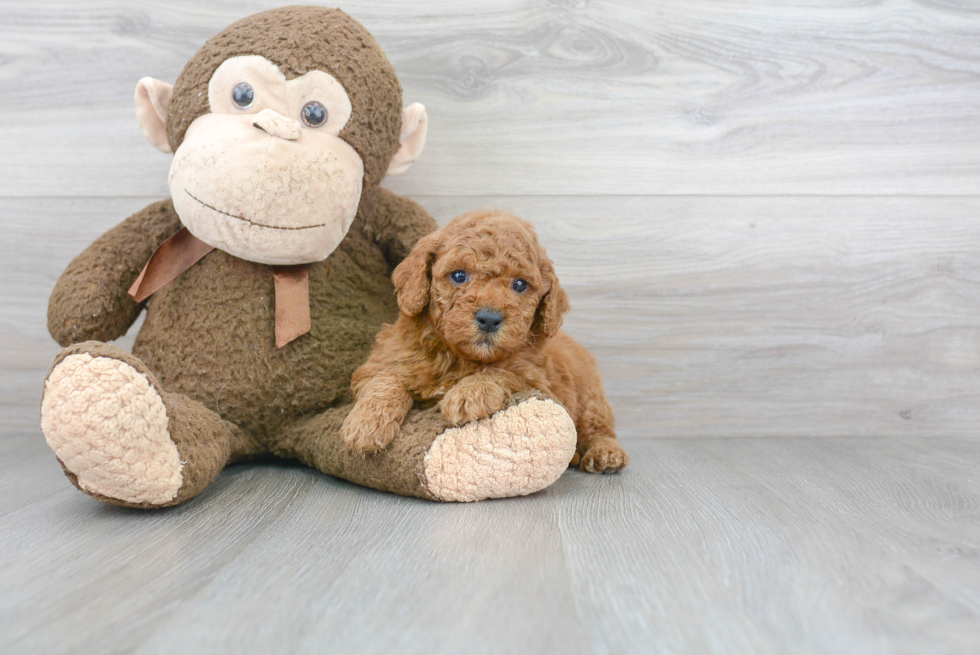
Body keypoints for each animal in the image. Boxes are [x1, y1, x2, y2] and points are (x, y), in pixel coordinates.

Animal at [342, 210, 628, 472]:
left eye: (520, 284)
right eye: (459, 275)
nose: (490, 318)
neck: (457, 356)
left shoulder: (538, 382)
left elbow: (501, 373)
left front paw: (470, 393)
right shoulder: (379, 363)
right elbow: (385, 380)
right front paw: (366, 425)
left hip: (591, 396)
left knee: (598, 427)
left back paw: (606, 453)